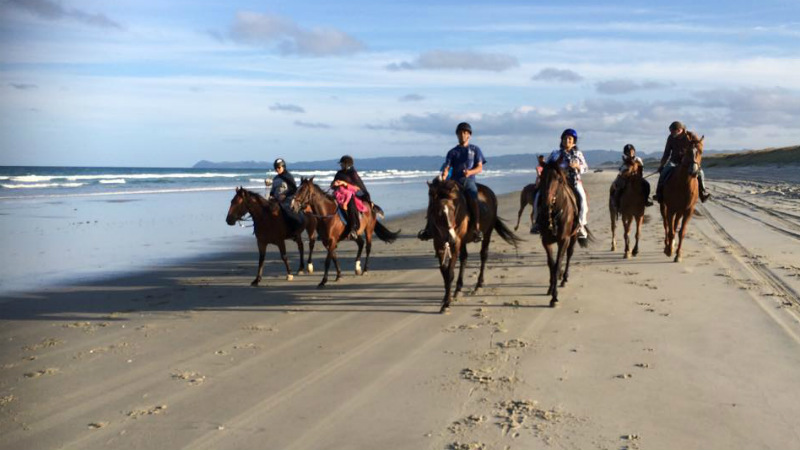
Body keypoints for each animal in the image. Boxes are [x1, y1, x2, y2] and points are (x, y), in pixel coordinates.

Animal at [427, 178, 522, 313]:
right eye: (438, 213)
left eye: (453, 210)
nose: (450, 238)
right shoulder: (438, 244)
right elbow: (444, 271)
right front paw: (446, 297)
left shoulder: (456, 243)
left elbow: (449, 273)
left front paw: (446, 303)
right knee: (464, 258)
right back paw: (458, 289)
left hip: (487, 233)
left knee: (483, 255)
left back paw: (479, 284)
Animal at [535, 161, 591, 307]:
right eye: (541, 177)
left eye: (559, 179)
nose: (546, 204)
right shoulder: (546, 241)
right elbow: (551, 264)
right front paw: (550, 288)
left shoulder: (563, 239)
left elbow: (557, 264)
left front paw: (554, 297)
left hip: (573, 236)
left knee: (569, 254)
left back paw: (564, 278)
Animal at [660, 133, 705, 262]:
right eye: (688, 151)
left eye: (700, 151)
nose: (693, 171)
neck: (683, 184)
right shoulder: (670, 209)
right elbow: (670, 230)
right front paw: (669, 250)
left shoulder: (688, 211)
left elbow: (681, 232)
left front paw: (678, 254)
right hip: (664, 207)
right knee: (666, 225)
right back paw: (667, 245)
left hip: (680, 211)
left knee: (675, 225)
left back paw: (672, 244)